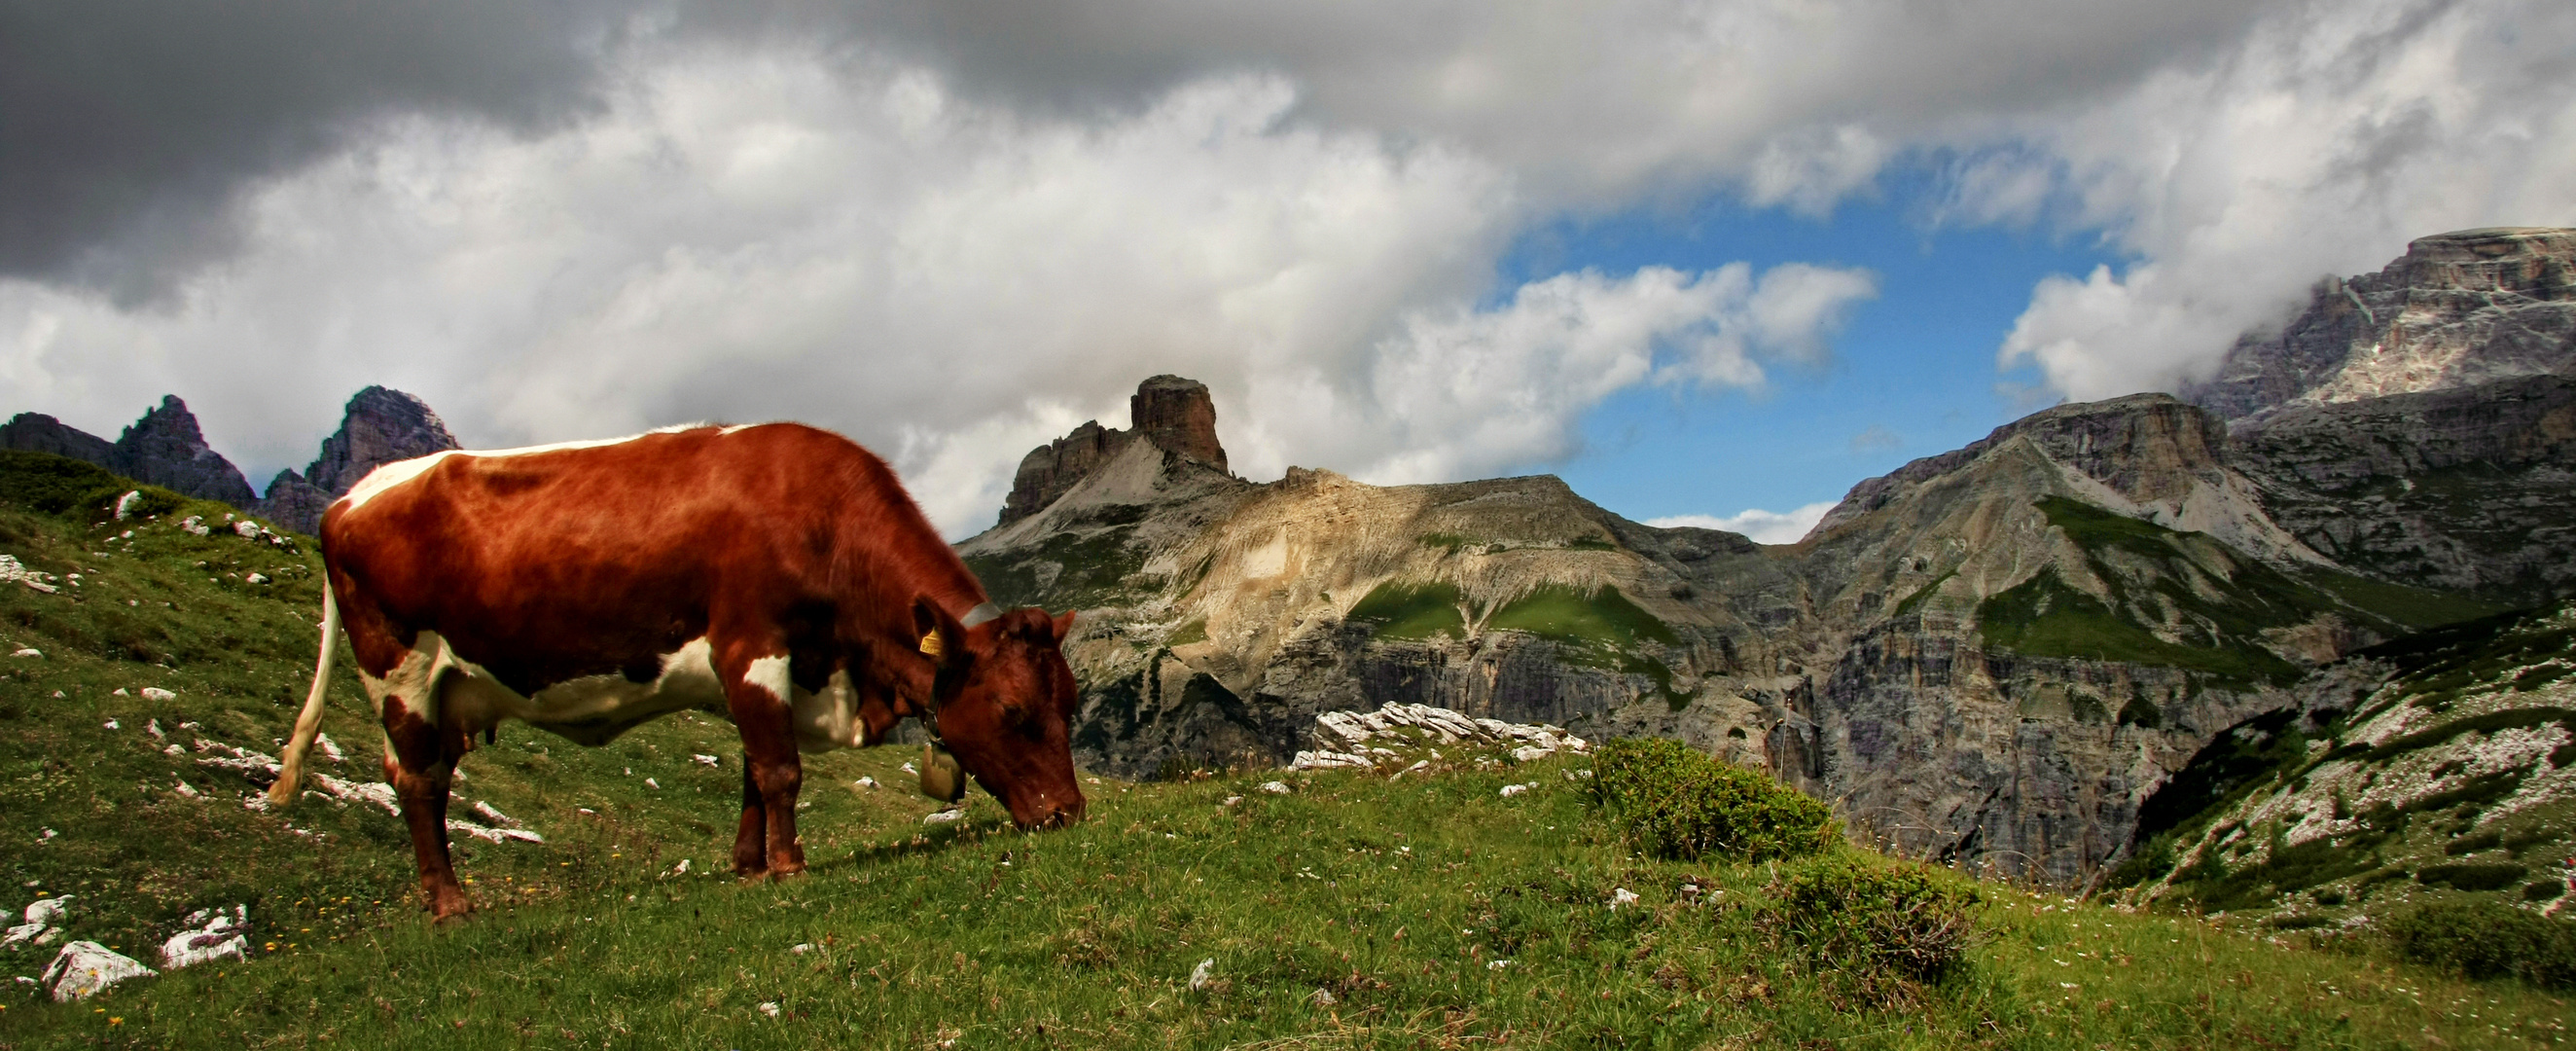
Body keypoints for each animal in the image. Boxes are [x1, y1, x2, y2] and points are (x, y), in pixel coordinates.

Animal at [268, 422, 1087, 917]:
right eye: (1013, 712)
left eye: (1071, 705)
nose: (1069, 813)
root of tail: (351, 497)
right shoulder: (751, 645)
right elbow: (780, 769)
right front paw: (788, 867)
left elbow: (753, 771)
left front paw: (748, 865)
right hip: (397, 665)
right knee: (417, 782)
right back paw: (449, 904)